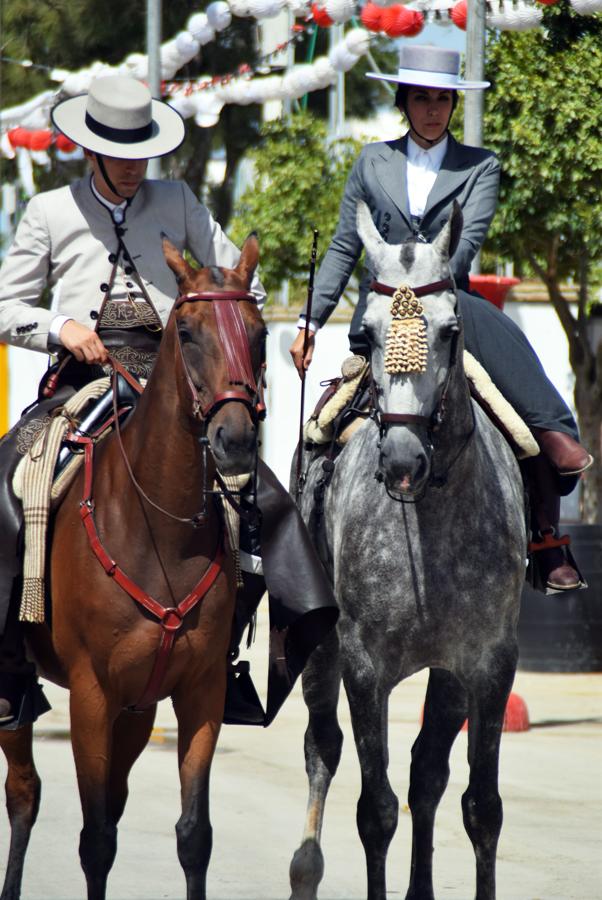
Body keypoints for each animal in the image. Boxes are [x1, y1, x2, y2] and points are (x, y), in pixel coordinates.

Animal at [0, 234, 264, 900]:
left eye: (258, 334)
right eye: (187, 332)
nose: (235, 441)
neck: (159, 531)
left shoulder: (198, 692)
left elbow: (192, 835)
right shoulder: (92, 697)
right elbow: (94, 838)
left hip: (140, 709)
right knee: (23, 791)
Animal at [288, 204, 524, 900]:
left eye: (451, 330)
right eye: (363, 335)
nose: (401, 459)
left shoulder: (489, 665)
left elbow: (480, 807)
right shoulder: (365, 667)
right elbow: (376, 809)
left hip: (446, 674)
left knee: (427, 774)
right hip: (320, 650)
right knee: (322, 748)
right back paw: (305, 868)